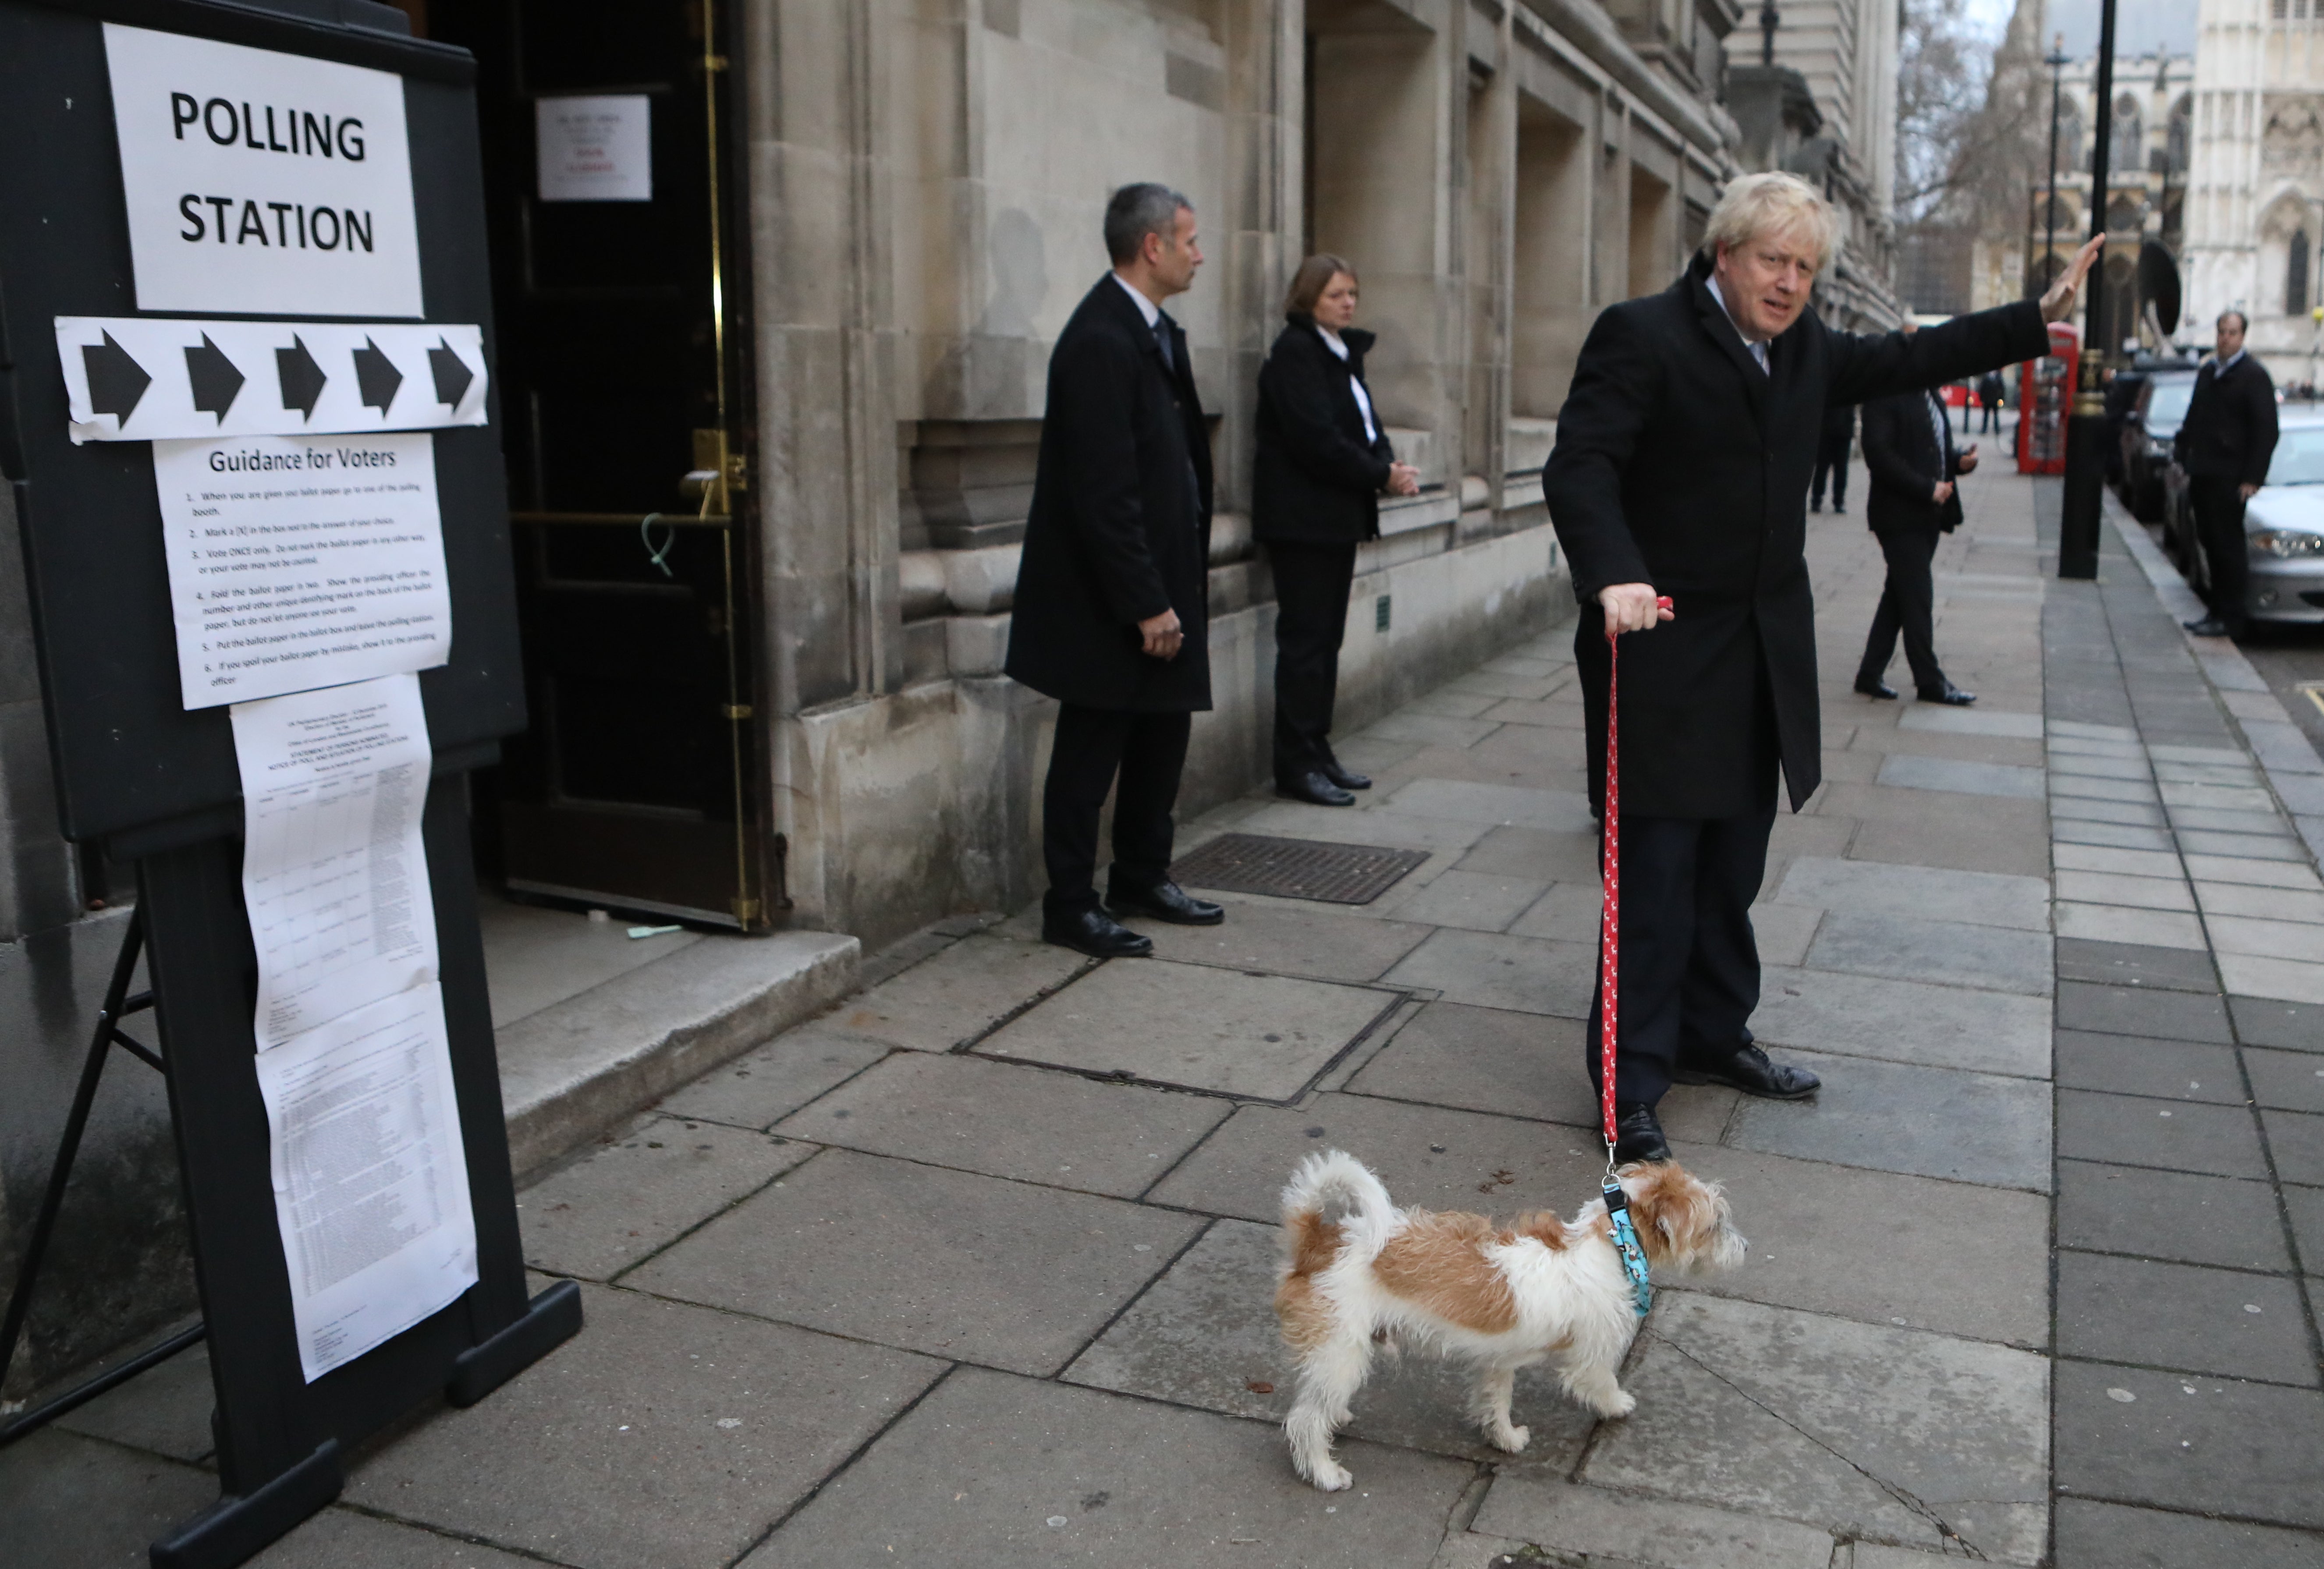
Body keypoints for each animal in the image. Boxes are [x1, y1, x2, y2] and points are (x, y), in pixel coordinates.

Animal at [1274, 1148, 1747, 1488]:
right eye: (1713, 1225)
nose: (1745, 1248)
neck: (1613, 1243)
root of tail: (1317, 1241)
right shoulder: (1590, 1357)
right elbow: (1602, 1382)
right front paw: (1617, 1405)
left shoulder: (1496, 1361)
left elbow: (1495, 1401)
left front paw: (1503, 1437)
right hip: (1339, 1351)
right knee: (1303, 1420)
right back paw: (1324, 1473)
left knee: (1318, 1402)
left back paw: (1337, 1416)